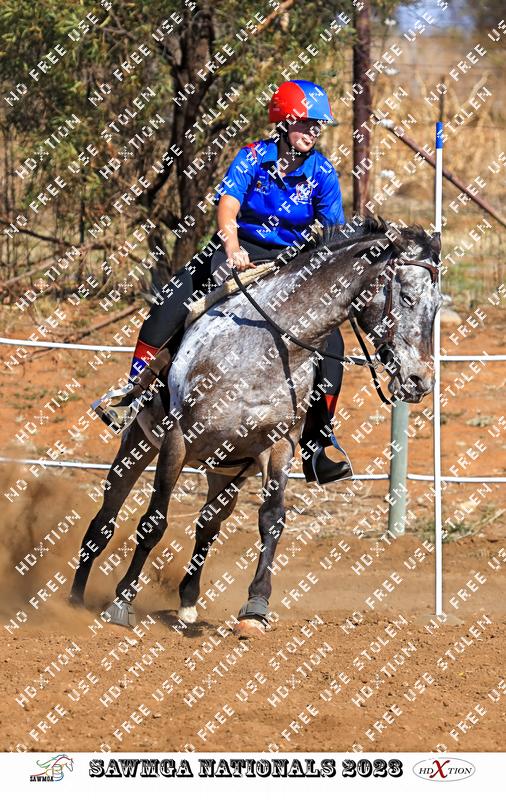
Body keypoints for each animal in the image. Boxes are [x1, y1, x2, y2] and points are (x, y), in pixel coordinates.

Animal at [69, 217, 441, 636]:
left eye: (437, 307)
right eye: (407, 297)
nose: (420, 381)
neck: (266, 347)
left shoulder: (278, 446)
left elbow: (271, 520)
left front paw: (256, 607)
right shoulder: (179, 438)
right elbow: (154, 522)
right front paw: (122, 602)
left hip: (227, 470)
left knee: (208, 525)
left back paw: (188, 603)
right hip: (140, 443)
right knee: (106, 518)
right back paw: (76, 597)